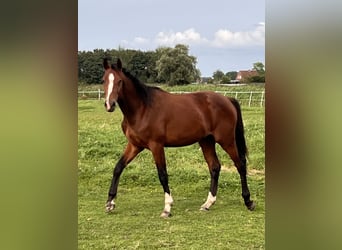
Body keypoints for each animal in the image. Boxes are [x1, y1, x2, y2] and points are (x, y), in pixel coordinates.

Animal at [101, 58, 254, 217]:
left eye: (119, 81)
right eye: (103, 80)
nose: (109, 104)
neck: (142, 109)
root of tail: (228, 99)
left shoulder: (156, 146)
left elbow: (162, 174)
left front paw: (167, 208)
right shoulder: (134, 145)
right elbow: (118, 168)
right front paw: (110, 203)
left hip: (226, 140)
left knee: (240, 165)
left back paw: (248, 201)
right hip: (207, 141)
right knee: (214, 167)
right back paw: (208, 204)